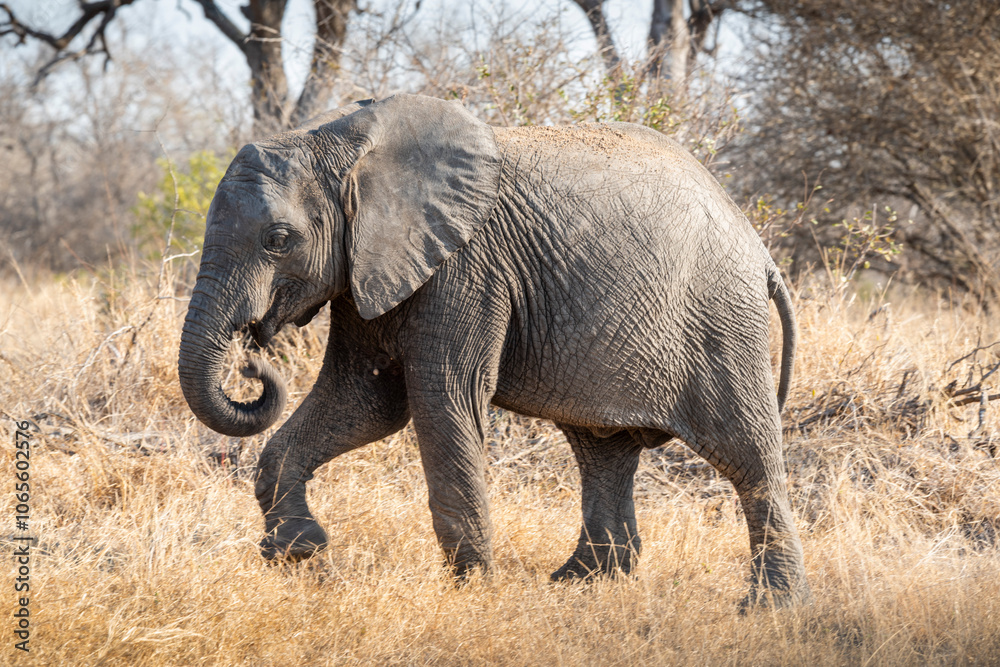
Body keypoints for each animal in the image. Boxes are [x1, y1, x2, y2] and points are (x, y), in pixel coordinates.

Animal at [178, 93, 809, 607]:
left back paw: (770, 607)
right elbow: (365, 402)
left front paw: (473, 587)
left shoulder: (467, 267)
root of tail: (759, 247)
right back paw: (579, 583)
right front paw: (298, 551)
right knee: (603, 451)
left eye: (278, 240)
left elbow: (440, 401)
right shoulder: (369, 266)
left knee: (748, 455)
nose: (251, 355)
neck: (339, 141)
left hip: (722, 323)